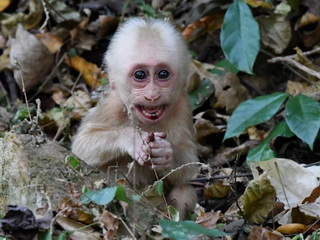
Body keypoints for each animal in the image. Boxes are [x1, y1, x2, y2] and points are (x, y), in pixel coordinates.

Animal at [71, 17, 199, 219]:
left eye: (163, 74)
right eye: (140, 75)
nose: (152, 95)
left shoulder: (183, 105)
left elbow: (190, 167)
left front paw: (165, 154)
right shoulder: (113, 105)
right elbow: (80, 148)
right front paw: (132, 139)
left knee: (184, 191)